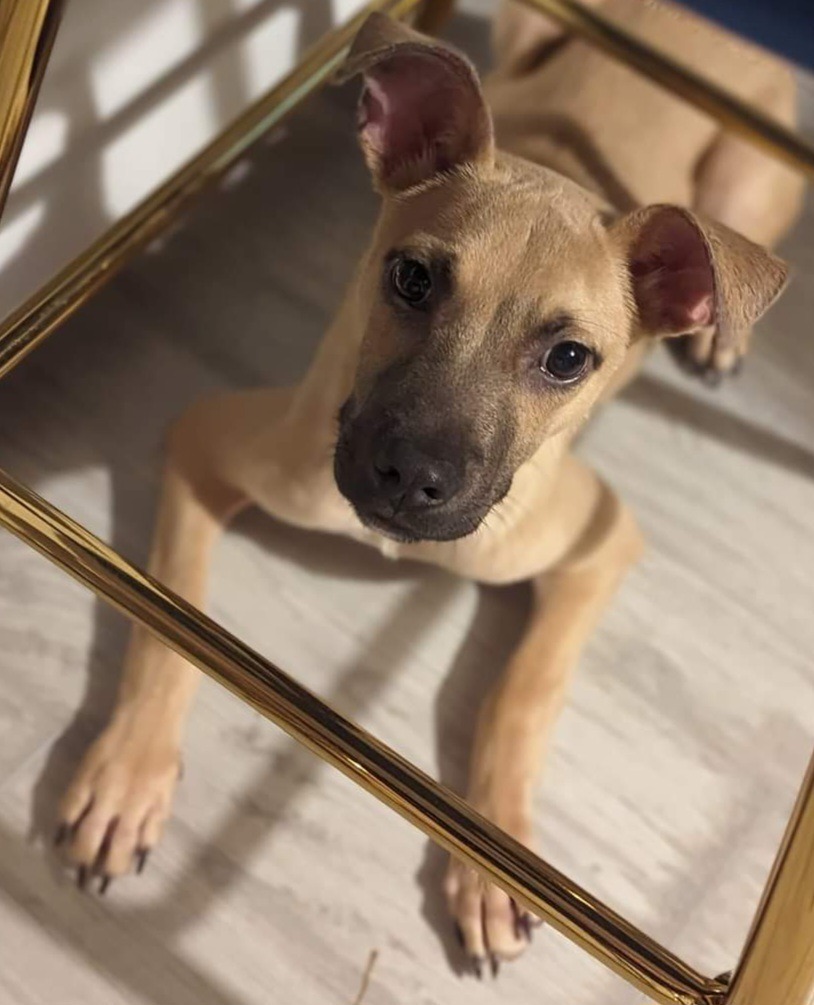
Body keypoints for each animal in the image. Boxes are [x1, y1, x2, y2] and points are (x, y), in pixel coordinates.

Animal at [55, 0, 799, 972]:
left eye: (569, 358)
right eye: (411, 277)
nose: (410, 477)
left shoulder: (600, 545)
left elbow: (520, 694)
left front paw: (495, 863)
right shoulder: (203, 440)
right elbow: (168, 623)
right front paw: (125, 780)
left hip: (745, 191)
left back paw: (717, 340)